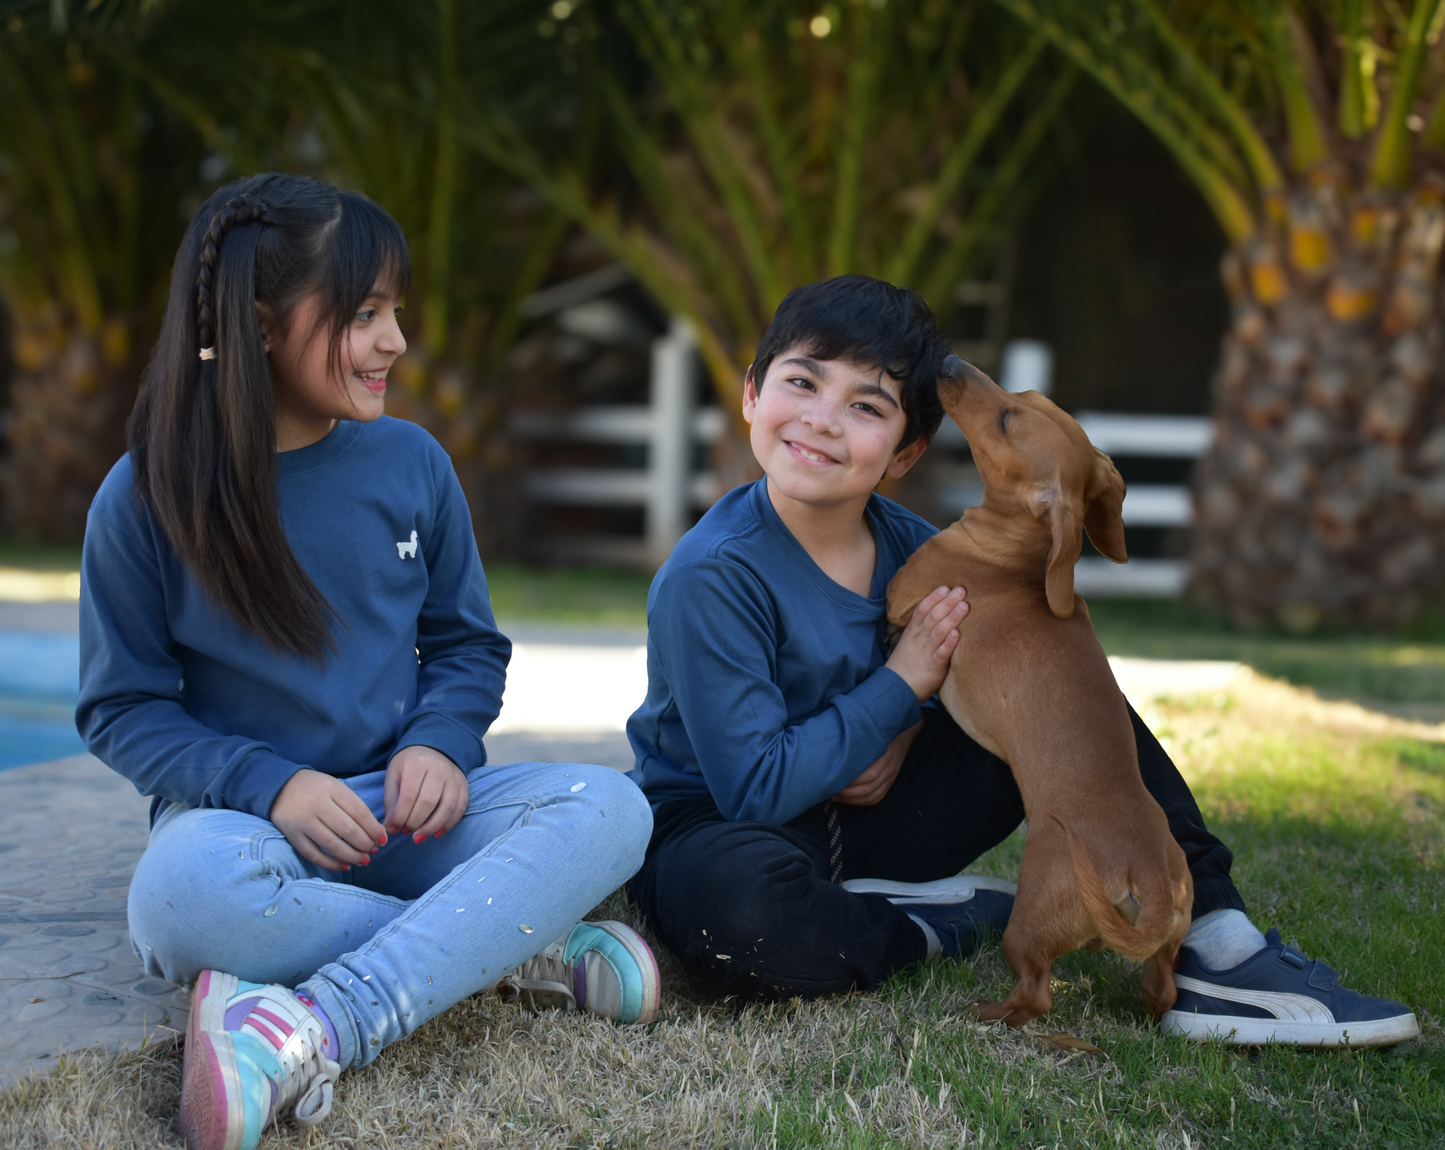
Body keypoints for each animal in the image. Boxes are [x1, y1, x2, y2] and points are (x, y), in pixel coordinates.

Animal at [884, 356, 1190, 1022]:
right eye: (1021, 394)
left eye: (1005, 418)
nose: (948, 360)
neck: (1018, 560)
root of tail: (1150, 875)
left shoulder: (900, 594)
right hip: (1167, 944)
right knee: (1163, 991)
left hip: (1026, 924)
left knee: (1035, 994)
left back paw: (986, 1012)